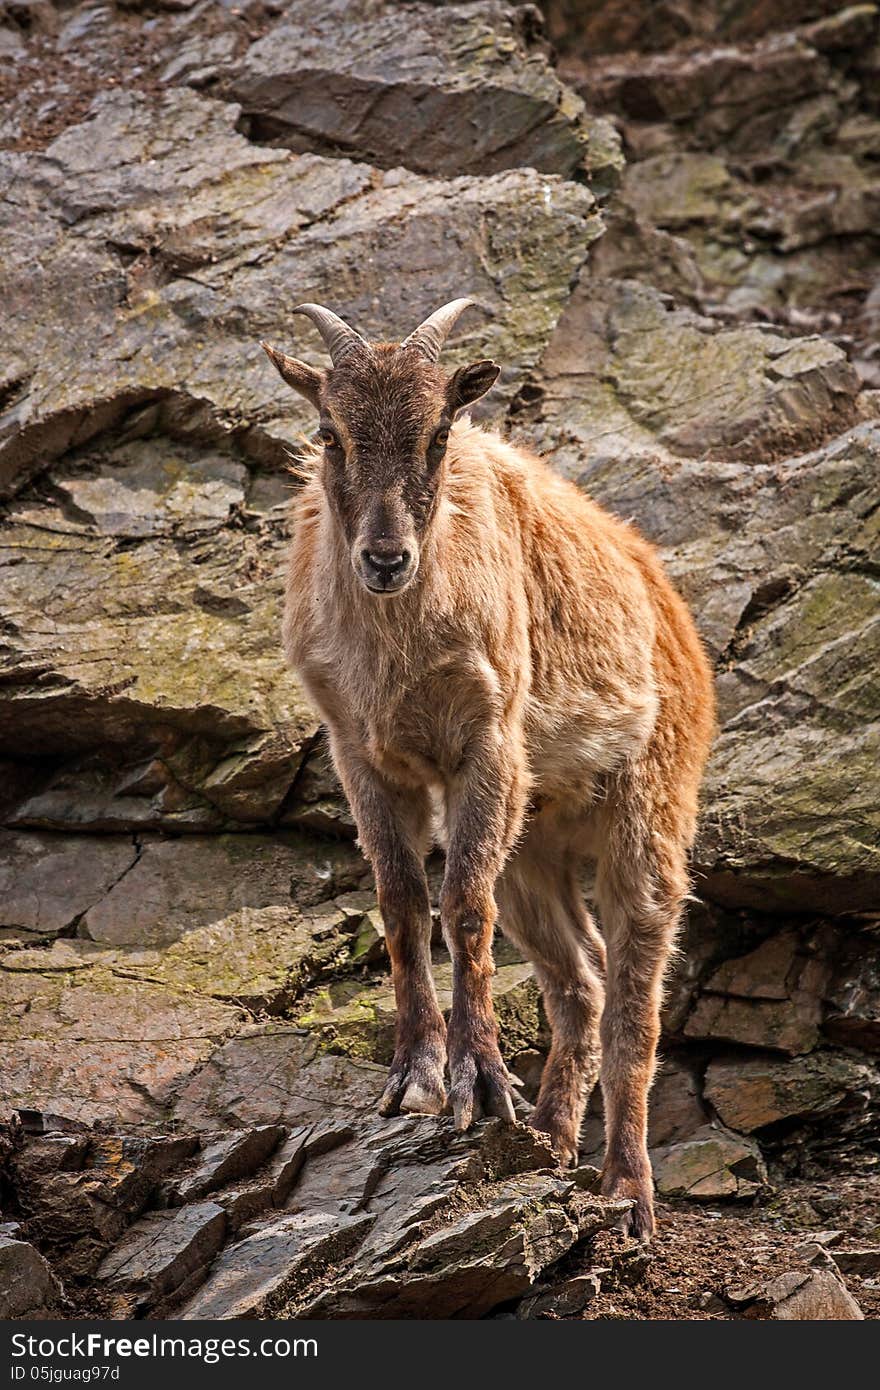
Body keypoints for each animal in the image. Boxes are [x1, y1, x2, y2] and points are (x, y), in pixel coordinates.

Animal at [261, 301, 711, 1239]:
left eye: (439, 432)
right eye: (329, 432)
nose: (386, 559)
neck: (397, 655)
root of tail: (673, 614)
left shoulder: (489, 745)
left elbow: (463, 900)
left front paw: (478, 1082)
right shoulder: (360, 752)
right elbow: (403, 898)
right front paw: (415, 1079)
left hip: (647, 813)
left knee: (635, 1002)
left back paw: (626, 1192)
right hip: (538, 843)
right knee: (579, 978)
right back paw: (549, 1138)